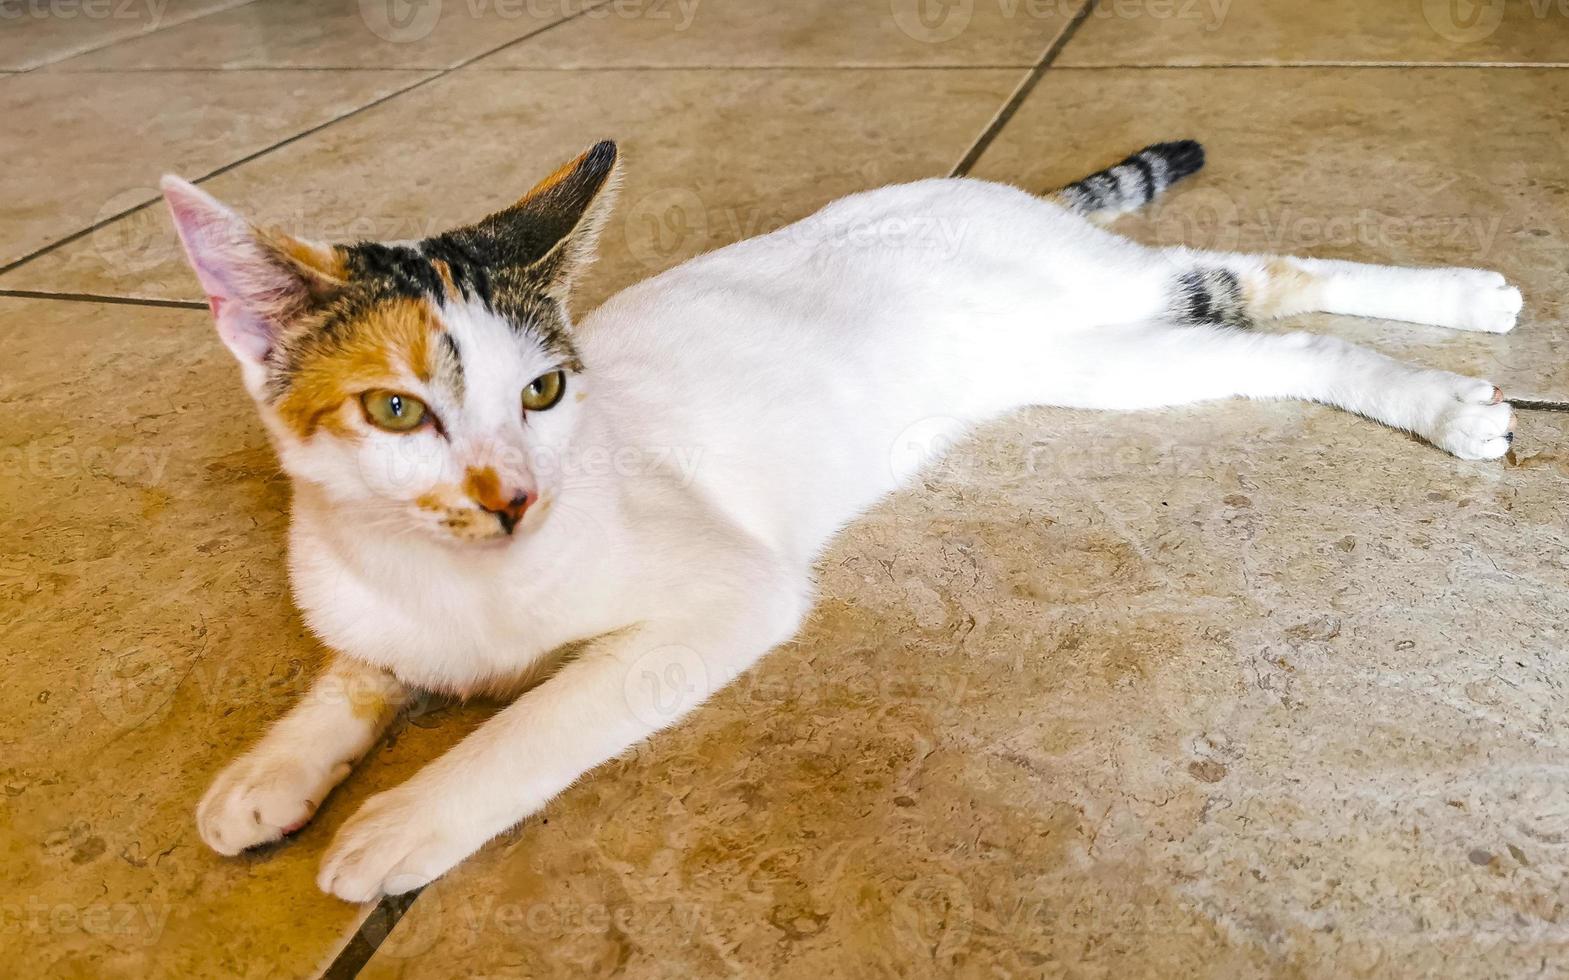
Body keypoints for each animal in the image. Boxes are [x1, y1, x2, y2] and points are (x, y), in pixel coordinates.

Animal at [165, 137, 1525, 903]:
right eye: (396, 408)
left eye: (542, 390)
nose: (514, 494)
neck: (463, 582)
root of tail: (990, 193)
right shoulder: (362, 587)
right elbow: (358, 666)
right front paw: (268, 771)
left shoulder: (729, 593)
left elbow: (543, 713)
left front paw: (404, 816)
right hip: (1102, 352)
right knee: (1255, 292)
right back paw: (1460, 318)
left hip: (1102, 321)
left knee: (1271, 301)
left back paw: (1454, 358)